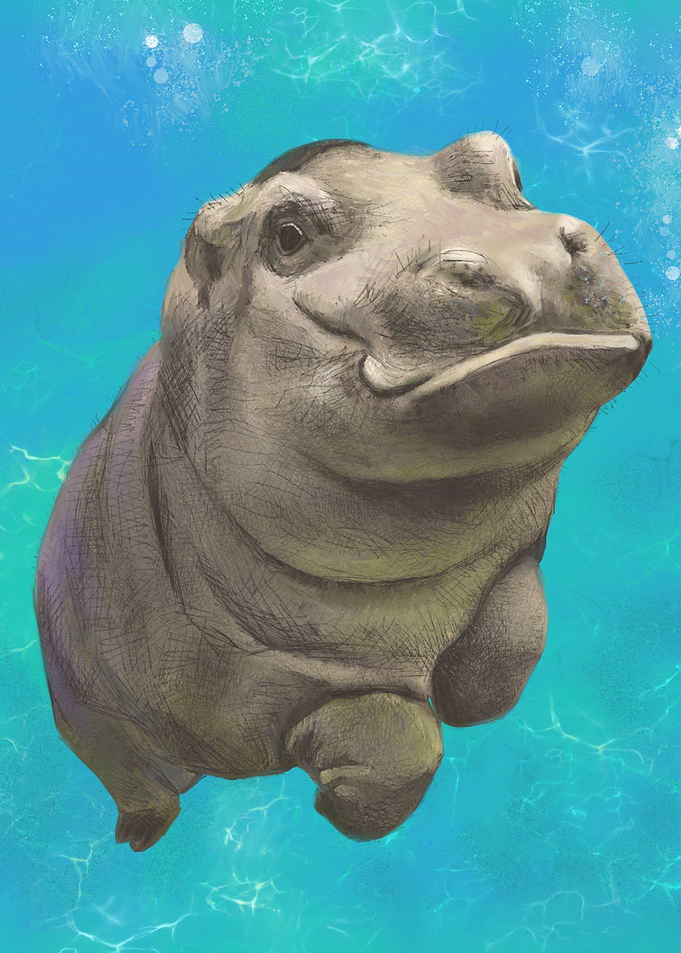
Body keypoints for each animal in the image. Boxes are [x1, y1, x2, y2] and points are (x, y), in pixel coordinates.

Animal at [34, 134, 651, 852]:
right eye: (288, 234)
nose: (527, 257)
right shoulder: (252, 681)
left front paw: (465, 699)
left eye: (503, 166)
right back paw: (138, 836)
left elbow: (513, 634)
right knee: (137, 779)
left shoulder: (512, 556)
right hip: (90, 715)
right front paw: (341, 797)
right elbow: (398, 738)